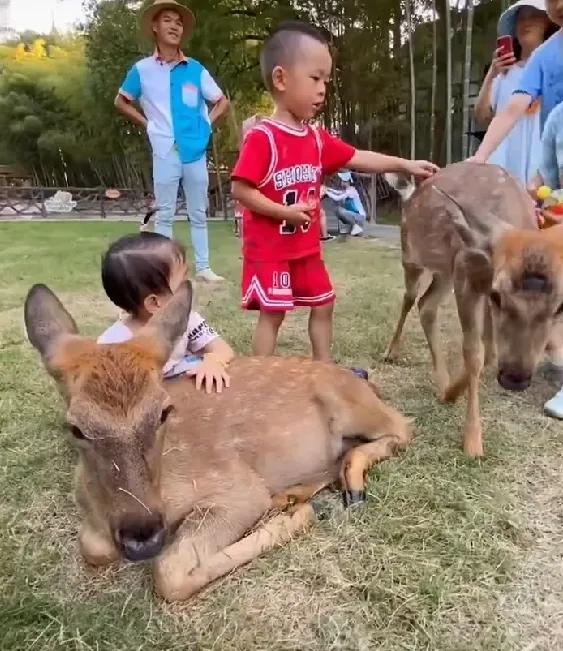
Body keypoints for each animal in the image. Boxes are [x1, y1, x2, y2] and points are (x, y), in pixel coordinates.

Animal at [24, 280, 412, 600]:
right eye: (75, 428)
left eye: (164, 411)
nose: (142, 535)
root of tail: (363, 382)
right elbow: (92, 546)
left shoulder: (237, 486)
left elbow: (168, 573)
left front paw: (297, 518)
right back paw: (294, 494)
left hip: (352, 405)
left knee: (403, 428)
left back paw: (342, 488)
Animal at [386, 162, 563, 458]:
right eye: (498, 294)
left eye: (560, 306)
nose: (515, 378)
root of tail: (411, 194)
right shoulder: (467, 275)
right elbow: (473, 353)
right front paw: (473, 442)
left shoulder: (473, 282)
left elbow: (489, 353)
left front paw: (450, 393)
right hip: (412, 257)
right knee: (410, 298)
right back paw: (391, 353)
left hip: (445, 270)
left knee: (426, 305)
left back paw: (442, 381)